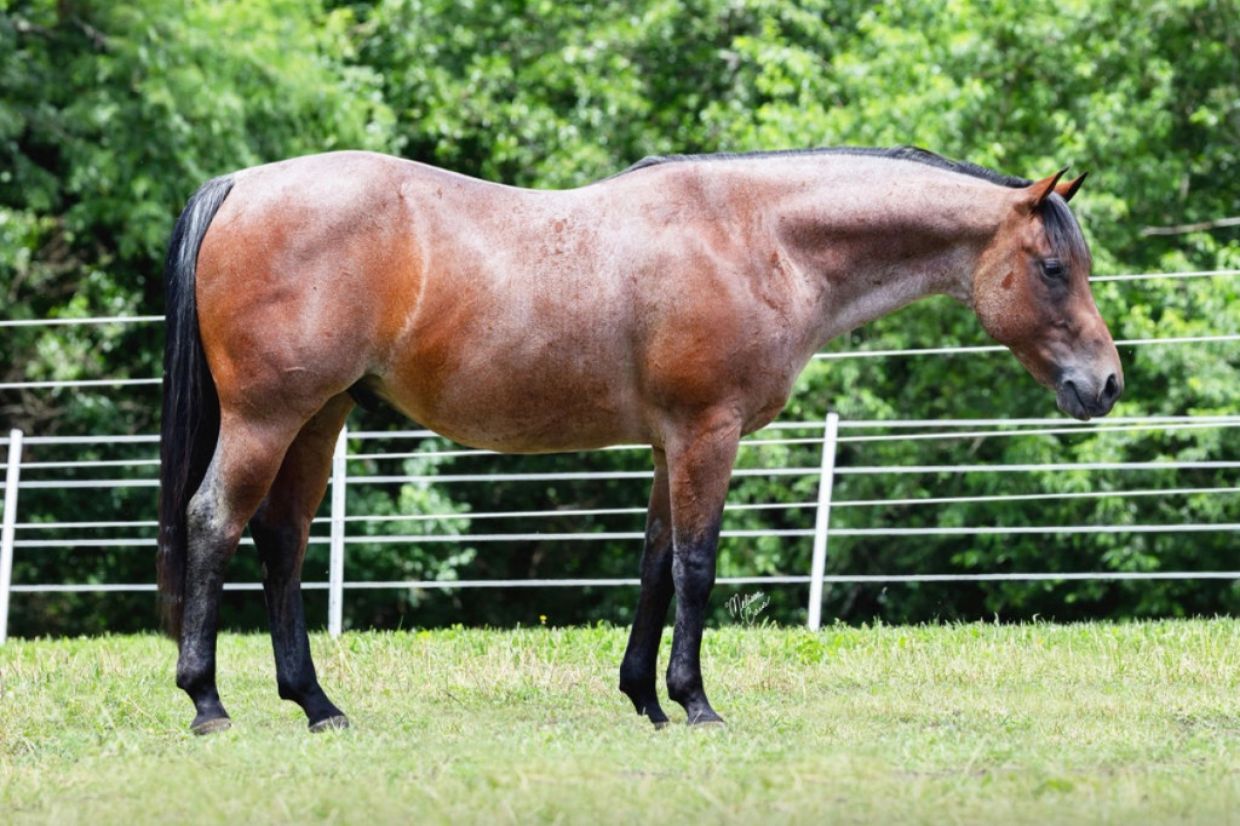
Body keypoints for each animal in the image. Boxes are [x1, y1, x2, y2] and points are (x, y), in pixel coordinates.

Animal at [157, 146, 1122, 734]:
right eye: (1052, 269)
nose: (1105, 385)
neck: (759, 239)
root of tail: (242, 186)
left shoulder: (670, 445)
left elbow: (656, 564)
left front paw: (646, 701)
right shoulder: (707, 434)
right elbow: (696, 566)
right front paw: (696, 704)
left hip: (319, 417)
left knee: (281, 541)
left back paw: (316, 703)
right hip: (270, 417)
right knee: (215, 523)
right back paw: (207, 700)